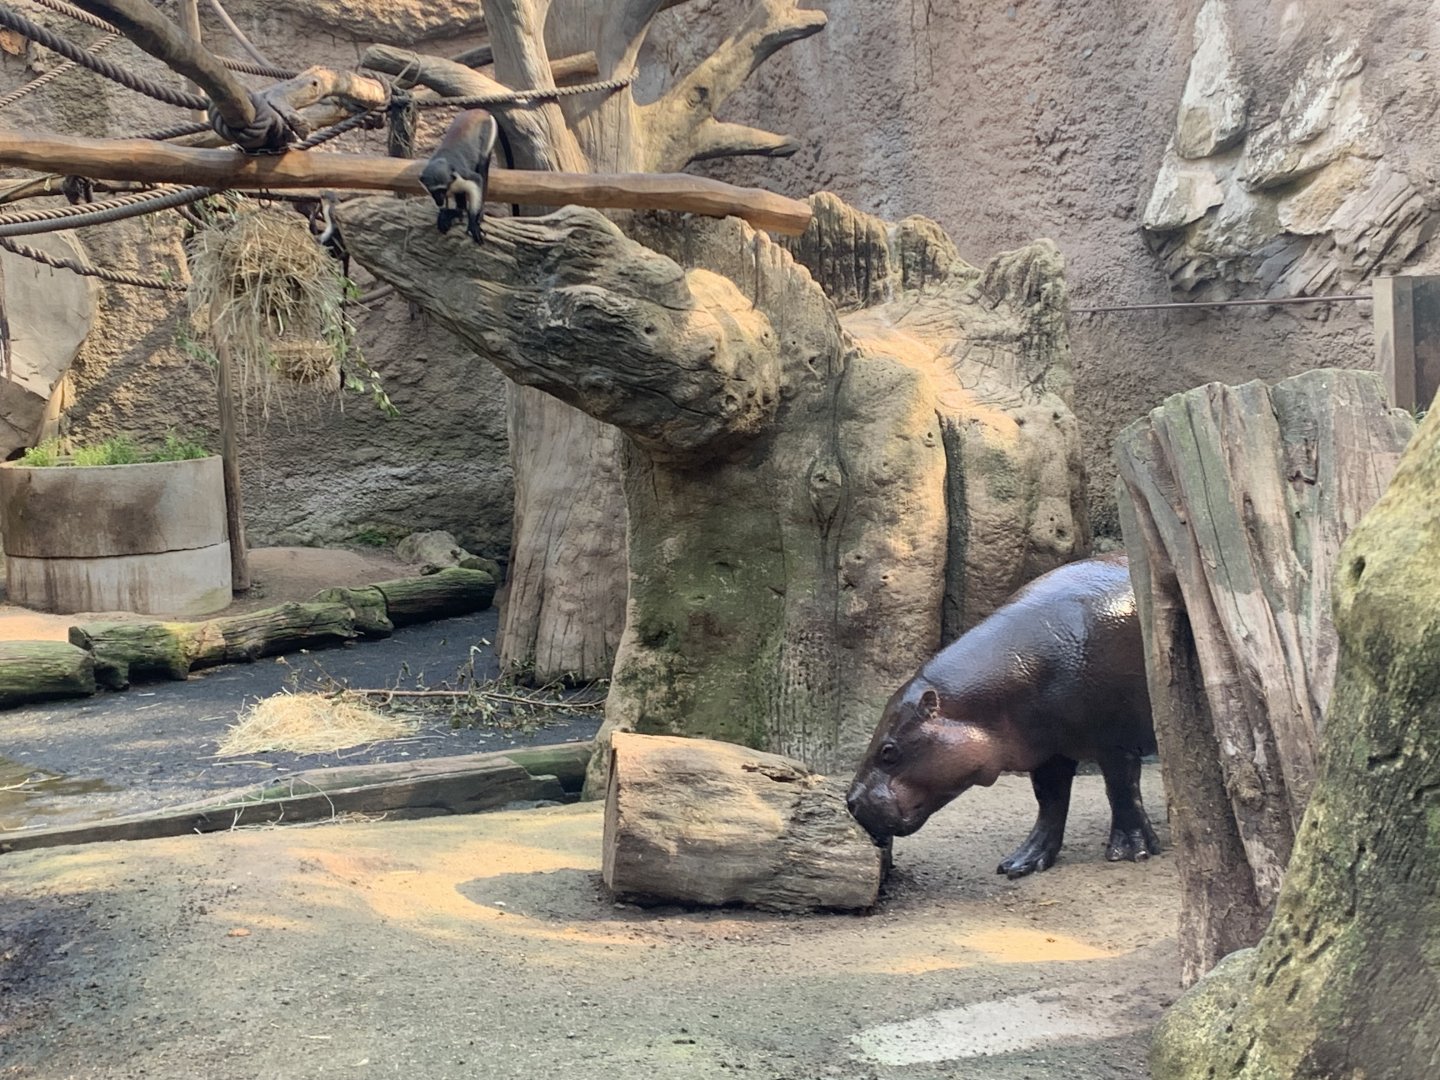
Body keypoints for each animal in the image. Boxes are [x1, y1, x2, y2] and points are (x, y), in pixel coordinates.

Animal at [419, 109, 501, 244]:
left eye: (442, 190)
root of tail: (481, 111)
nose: (439, 200)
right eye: (434, 191)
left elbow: (477, 180)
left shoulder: (462, 175)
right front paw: (446, 213)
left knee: (483, 165)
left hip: (489, 133)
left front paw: (473, 222)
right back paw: (458, 211)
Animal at [846, 554, 1159, 878]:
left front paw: (1130, 852)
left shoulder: (1116, 742)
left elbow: (1122, 791)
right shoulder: (1048, 751)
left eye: (888, 751)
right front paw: (1021, 863)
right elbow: (1050, 802)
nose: (851, 802)